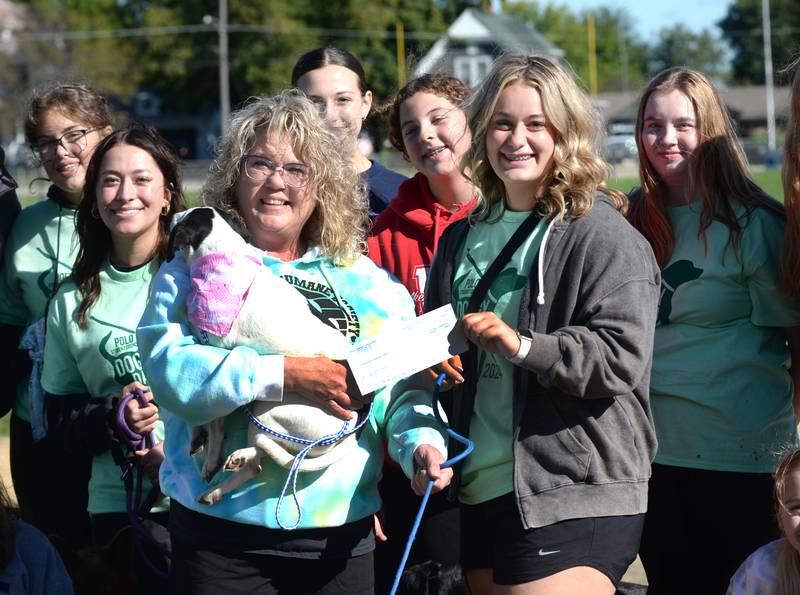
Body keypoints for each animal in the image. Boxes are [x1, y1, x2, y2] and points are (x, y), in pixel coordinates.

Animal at [169, 208, 360, 508]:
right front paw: (196, 435)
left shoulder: (215, 354)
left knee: (259, 456)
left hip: (268, 409)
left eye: (185, 217)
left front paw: (210, 456)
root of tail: (352, 424)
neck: (224, 258)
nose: (173, 213)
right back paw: (218, 488)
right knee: (258, 462)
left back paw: (235, 461)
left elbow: (214, 424)